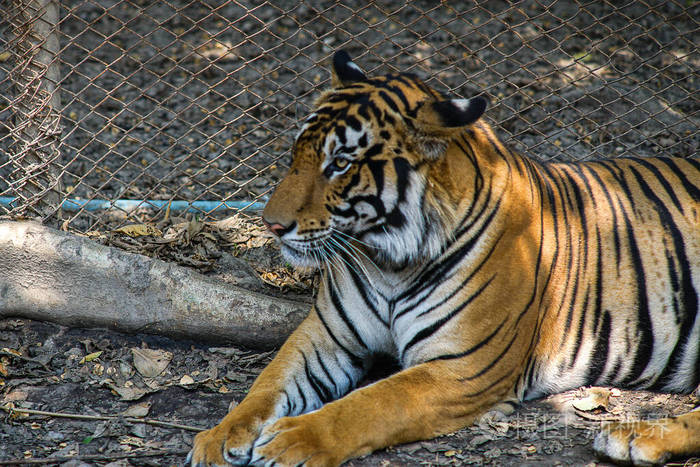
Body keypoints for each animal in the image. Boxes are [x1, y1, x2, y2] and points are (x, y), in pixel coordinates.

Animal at [187, 49, 700, 466]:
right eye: (298, 153)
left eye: (341, 164)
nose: (271, 224)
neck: (388, 260)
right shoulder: (327, 335)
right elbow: (267, 385)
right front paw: (218, 437)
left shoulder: (464, 368)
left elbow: (372, 403)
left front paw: (292, 439)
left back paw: (635, 437)